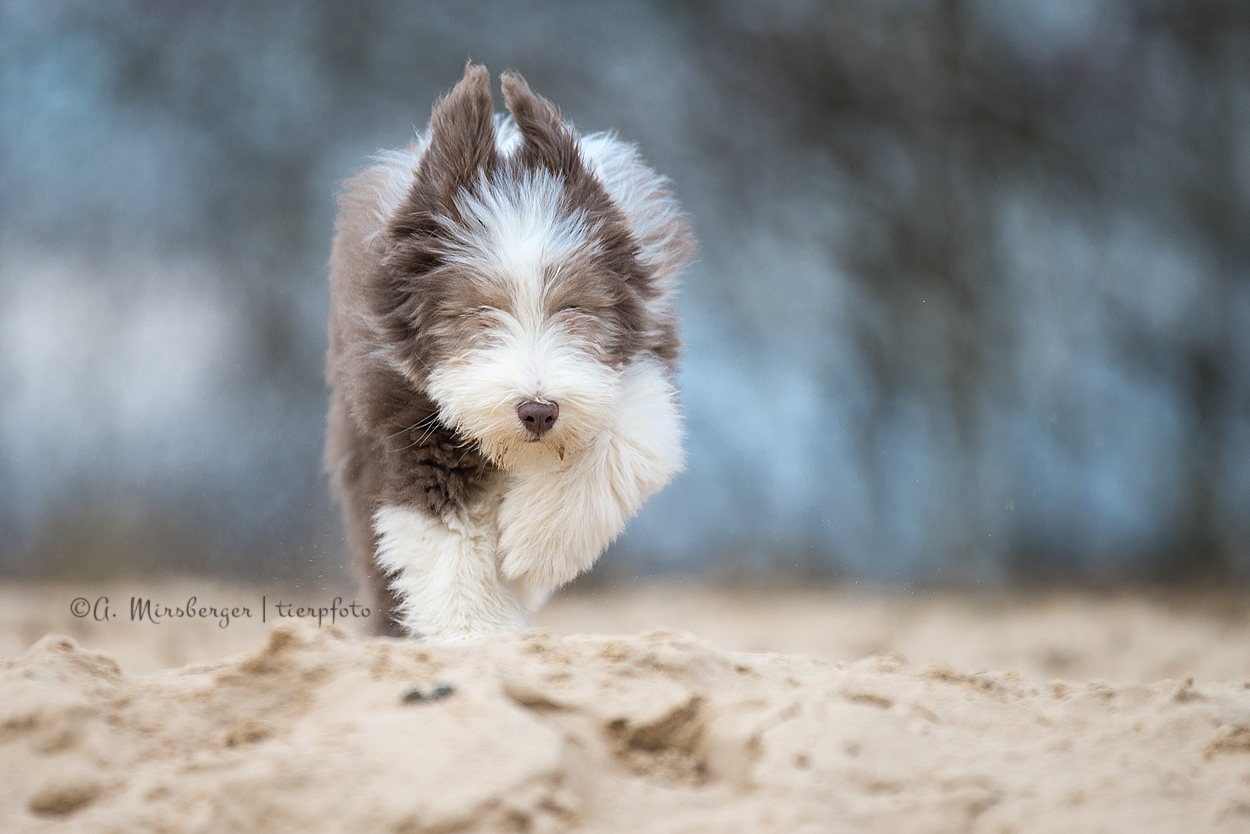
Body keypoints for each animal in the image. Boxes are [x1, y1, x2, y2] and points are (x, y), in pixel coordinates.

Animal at [322, 65, 695, 645]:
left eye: (574, 307)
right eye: (479, 310)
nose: (538, 411)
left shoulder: (644, 353)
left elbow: (630, 436)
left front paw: (534, 547)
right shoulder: (402, 403)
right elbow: (442, 525)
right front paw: (477, 632)